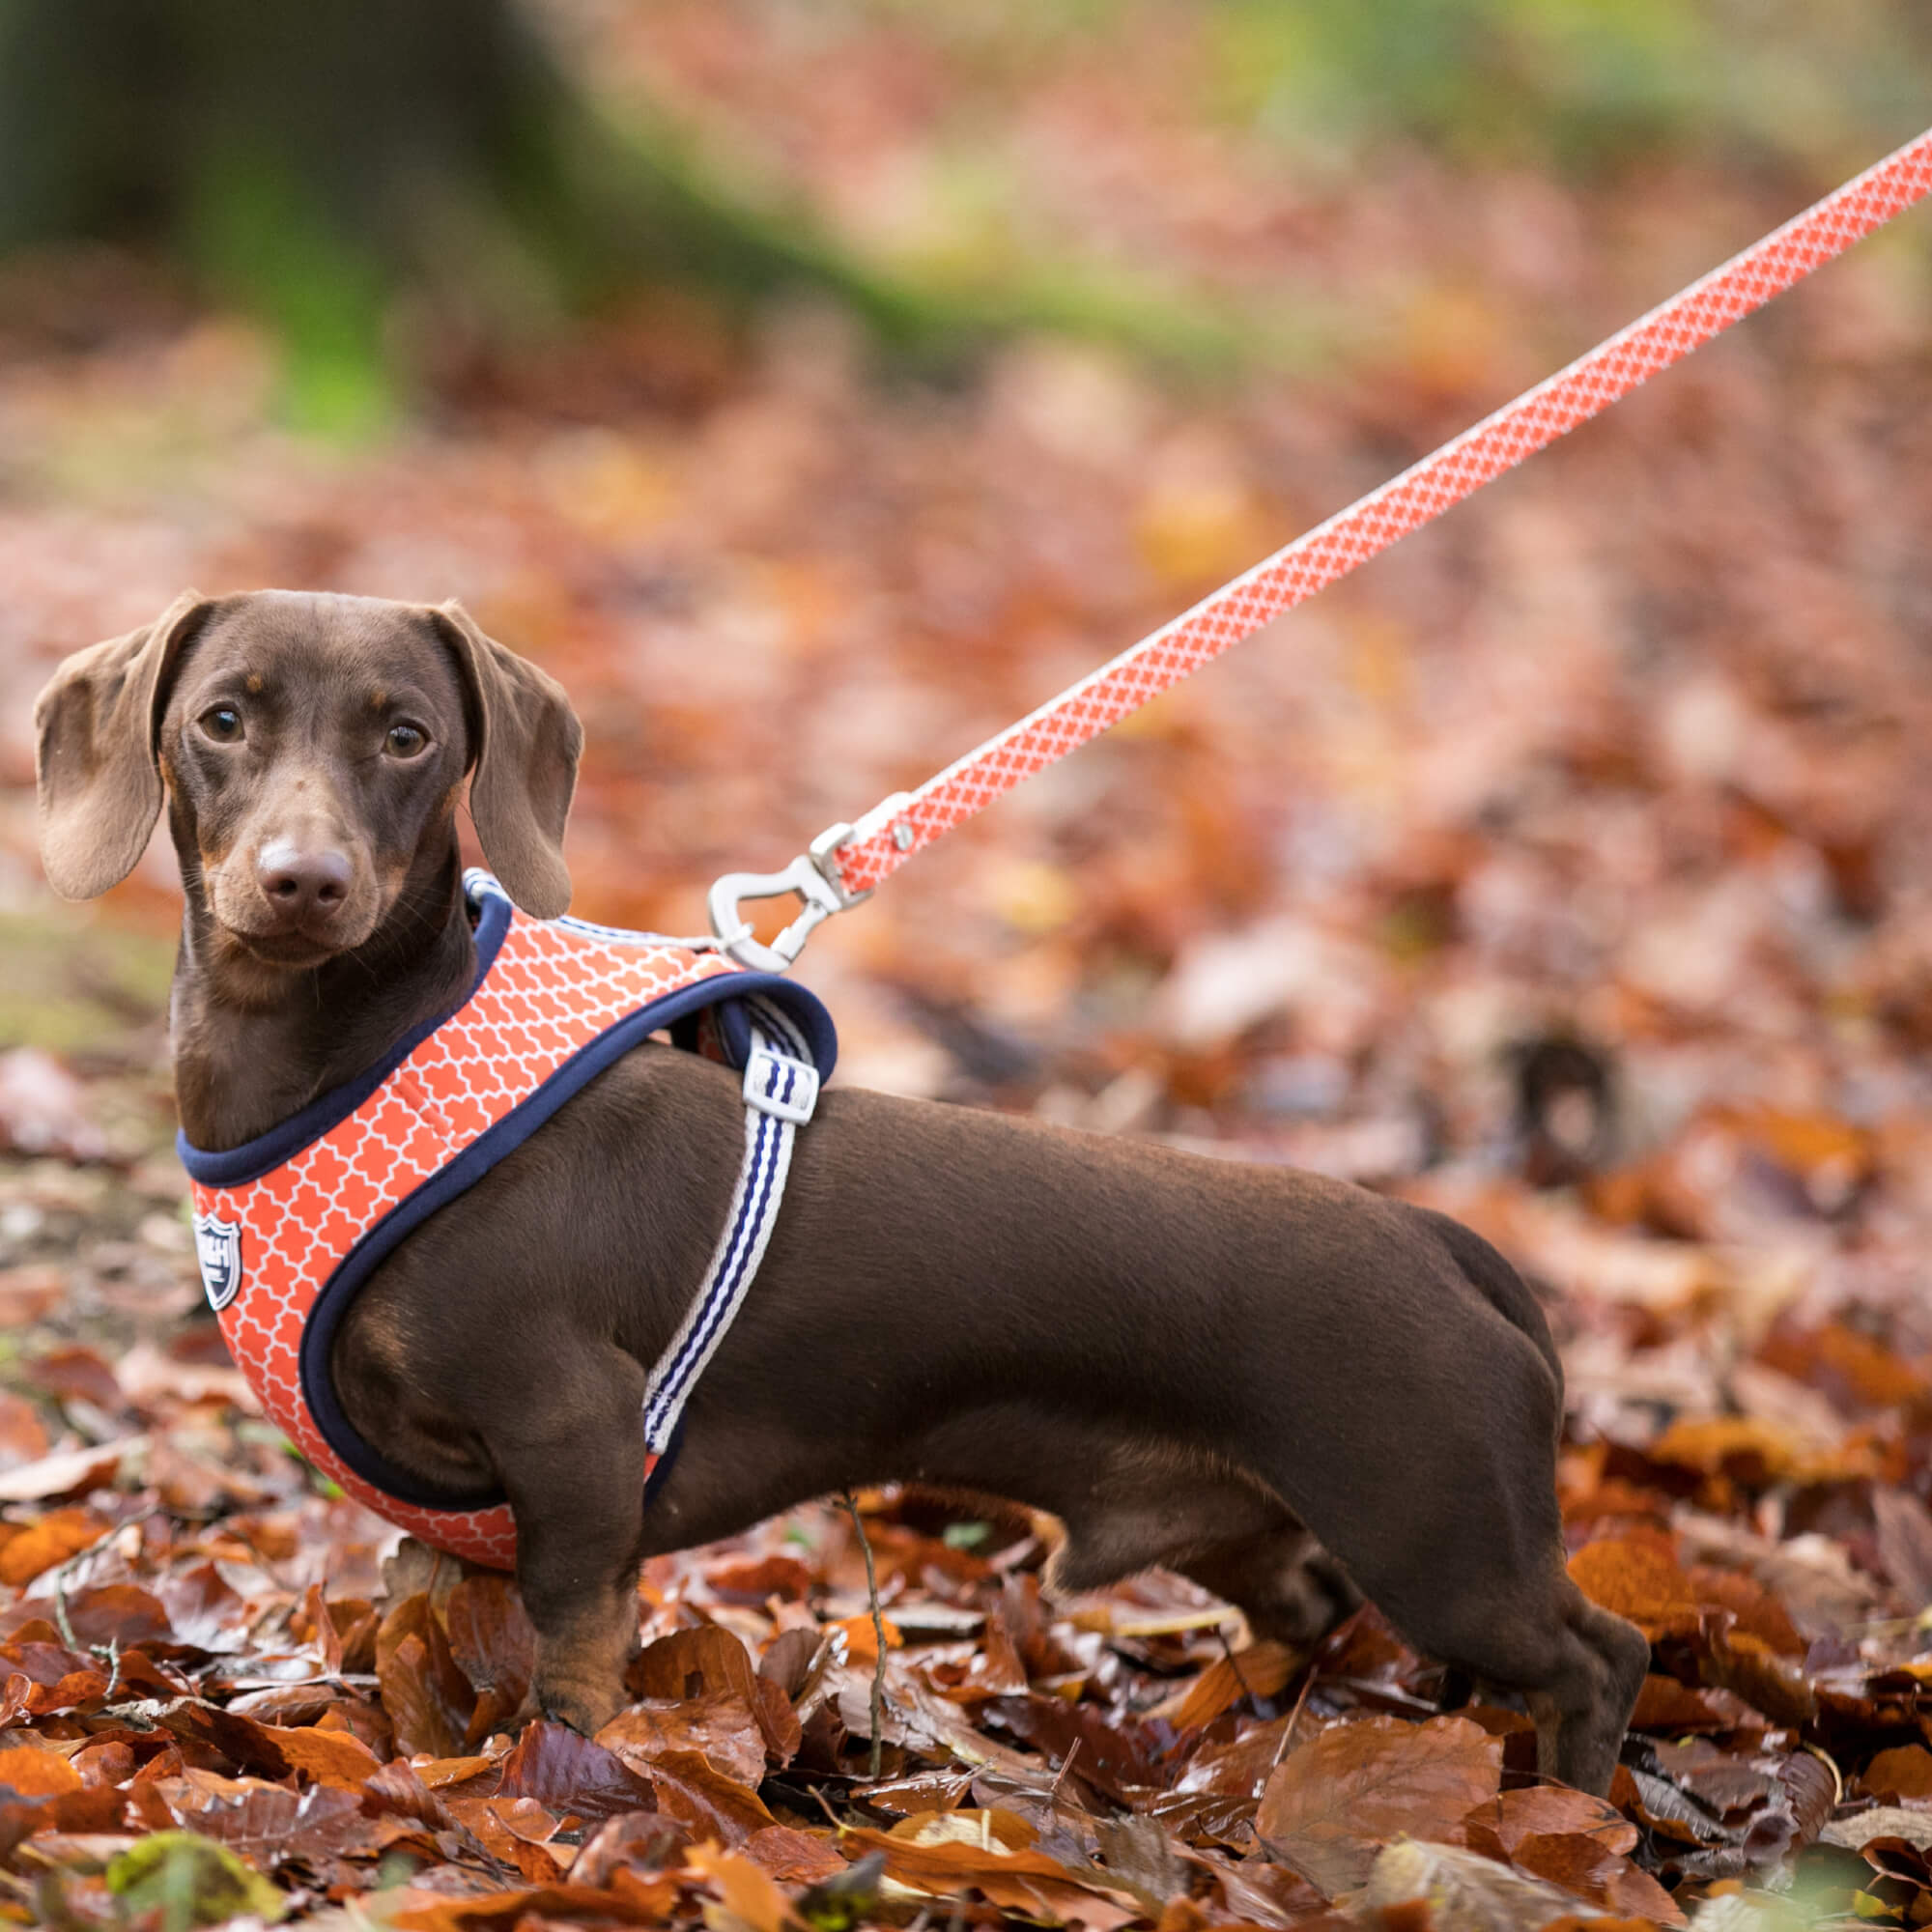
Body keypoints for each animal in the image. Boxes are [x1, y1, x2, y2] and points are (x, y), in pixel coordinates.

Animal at [34, 591, 1646, 1793]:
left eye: (409, 735)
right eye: (221, 718)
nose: (302, 881)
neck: (353, 1059)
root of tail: (1438, 1242)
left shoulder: (571, 1443)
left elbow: (571, 1661)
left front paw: (559, 1787)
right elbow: (415, 1625)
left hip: (1440, 1529)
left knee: (1596, 1655)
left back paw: (1570, 1807)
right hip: (1282, 1534)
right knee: (1323, 1615)